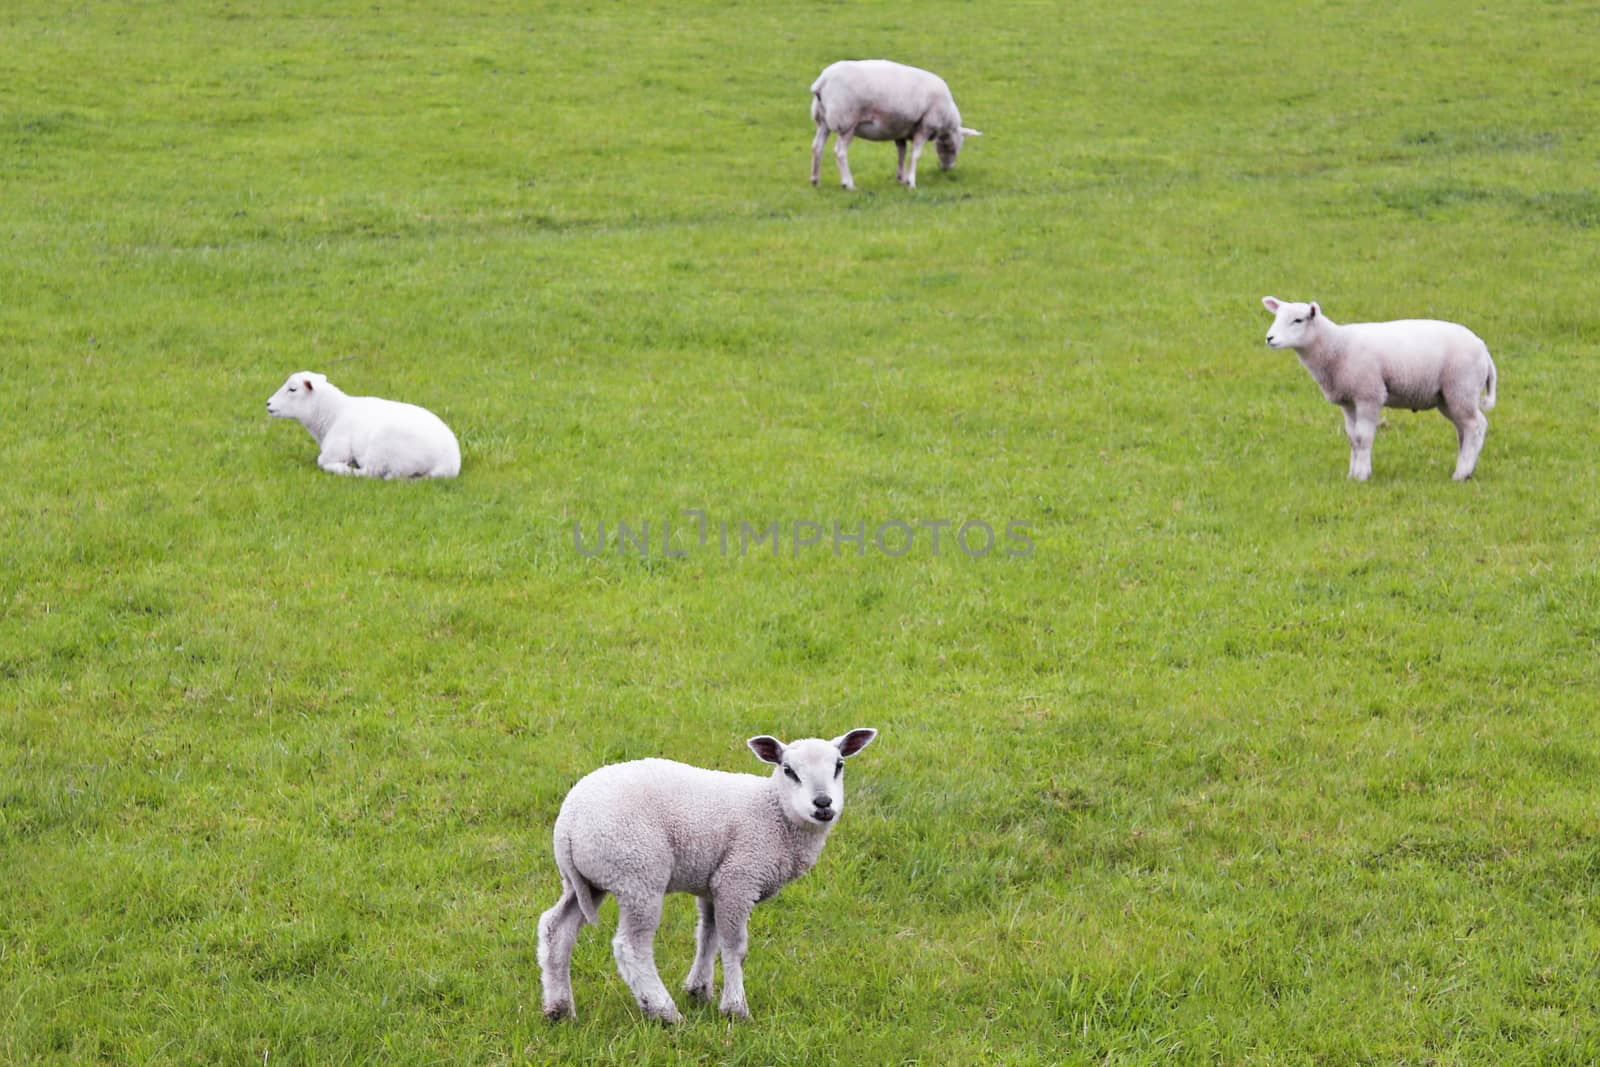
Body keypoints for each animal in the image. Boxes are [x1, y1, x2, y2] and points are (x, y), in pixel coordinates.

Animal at [264, 371, 460, 479]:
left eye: (292, 389)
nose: (268, 404)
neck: (333, 413)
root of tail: (449, 464)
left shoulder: (337, 448)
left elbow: (322, 460)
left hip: (382, 448)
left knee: (372, 473)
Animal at [544, 729, 883, 1023]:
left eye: (839, 765)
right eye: (788, 770)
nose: (823, 804)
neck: (775, 813)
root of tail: (568, 823)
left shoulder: (713, 883)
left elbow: (708, 935)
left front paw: (698, 990)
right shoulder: (738, 878)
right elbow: (735, 946)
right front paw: (735, 1008)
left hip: (586, 880)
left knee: (556, 927)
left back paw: (559, 1009)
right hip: (638, 873)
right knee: (631, 947)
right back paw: (665, 1012)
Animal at [806, 60, 979, 191]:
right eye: (954, 148)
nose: (947, 169)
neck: (946, 119)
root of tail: (822, 81)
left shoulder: (900, 130)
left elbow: (902, 153)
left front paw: (901, 178)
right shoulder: (925, 126)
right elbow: (915, 154)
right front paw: (912, 182)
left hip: (822, 121)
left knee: (817, 147)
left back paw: (815, 180)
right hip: (846, 121)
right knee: (840, 152)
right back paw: (848, 184)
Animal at [1260, 300, 1497, 483]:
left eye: (1298, 320)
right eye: (1276, 317)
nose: (1269, 338)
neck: (1336, 346)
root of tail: (1484, 348)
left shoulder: (1369, 394)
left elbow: (1363, 437)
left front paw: (1362, 475)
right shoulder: (1349, 401)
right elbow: (1352, 438)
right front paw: (1352, 475)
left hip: (1462, 386)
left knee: (1476, 425)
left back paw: (1461, 473)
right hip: (1448, 396)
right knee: (1464, 429)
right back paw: (1467, 469)